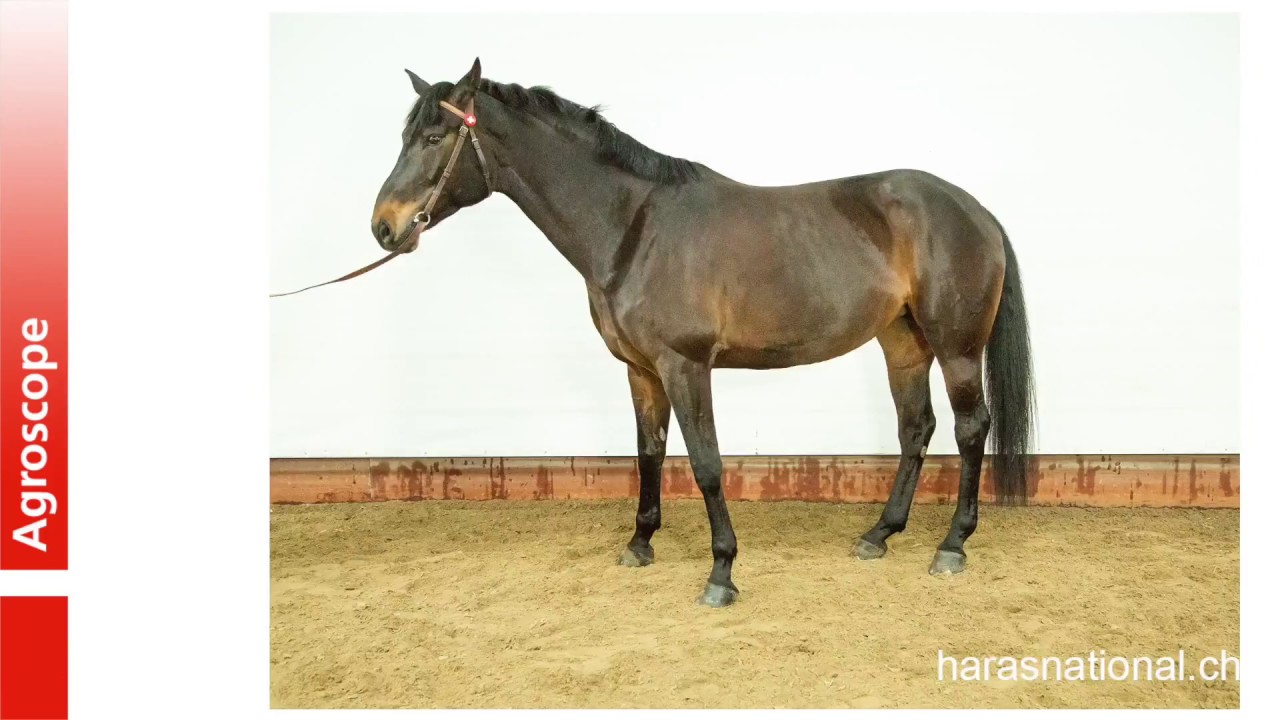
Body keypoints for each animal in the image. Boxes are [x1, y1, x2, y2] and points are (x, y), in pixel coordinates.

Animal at [370, 59, 1035, 607]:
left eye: (434, 138)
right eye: (404, 137)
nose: (384, 227)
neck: (634, 228)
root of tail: (975, 210)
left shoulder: (685, 365)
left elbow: (707, 463)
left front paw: (722, 573)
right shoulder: (641, 370)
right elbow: (649, 452)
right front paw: (640, 544)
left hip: (956, 348)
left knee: (970, 429)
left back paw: (951, 545)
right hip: (902, 343)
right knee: (915, 428)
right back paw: (880, 534)